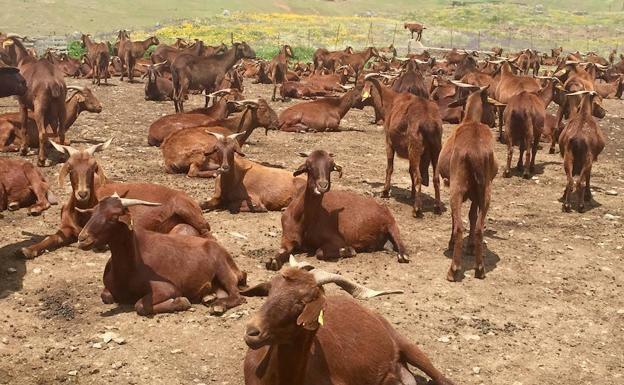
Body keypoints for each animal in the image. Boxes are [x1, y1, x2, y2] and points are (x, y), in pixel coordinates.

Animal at [76, 195, 246, 316]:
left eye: (113, 217)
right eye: (92, 214)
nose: (82, 238)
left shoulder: (167, 289)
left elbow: (140, 305)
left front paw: (181, 302)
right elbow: (106, 296)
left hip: (223, 269)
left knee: (237, 296)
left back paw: (217, 306)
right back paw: (209, 298)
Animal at [266, 150, 410, 270]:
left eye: (331, 167)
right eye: (309, 166)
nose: (323, 185)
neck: (303, 220)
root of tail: (380, 205)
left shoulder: (336, 239)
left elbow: (319, 252)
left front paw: (348, 251)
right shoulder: (287, 238)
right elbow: (282, 251)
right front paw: (273, 261)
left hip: (391, 223)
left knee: (399, 240)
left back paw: (403, 255)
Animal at [436, 86, 500, 280]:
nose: (494, 121)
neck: (470, 120)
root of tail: (475, 152)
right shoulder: (476, 193)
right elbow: (472, 215)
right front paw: (470, 246)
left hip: (457, 190)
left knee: (459, 226)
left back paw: (453, 269)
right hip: (485, 191)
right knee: (479, 227)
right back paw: (479, 268)